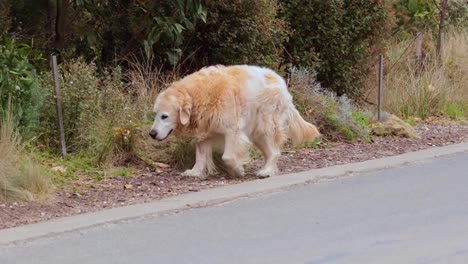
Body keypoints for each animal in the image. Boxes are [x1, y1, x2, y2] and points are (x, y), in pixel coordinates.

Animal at [148, 64, 320, 177]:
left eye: (164, 116)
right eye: (155, 114)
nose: (152, 133)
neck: (198, 95)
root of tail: (280, 82)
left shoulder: (232, 130)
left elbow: (228, 157)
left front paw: (237, 170)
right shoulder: (204, 131)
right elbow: (201, 155)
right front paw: (195, 172)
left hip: (266, 125)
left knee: (275, 151)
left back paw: (266, 171)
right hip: (257, 133)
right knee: (269, 151)